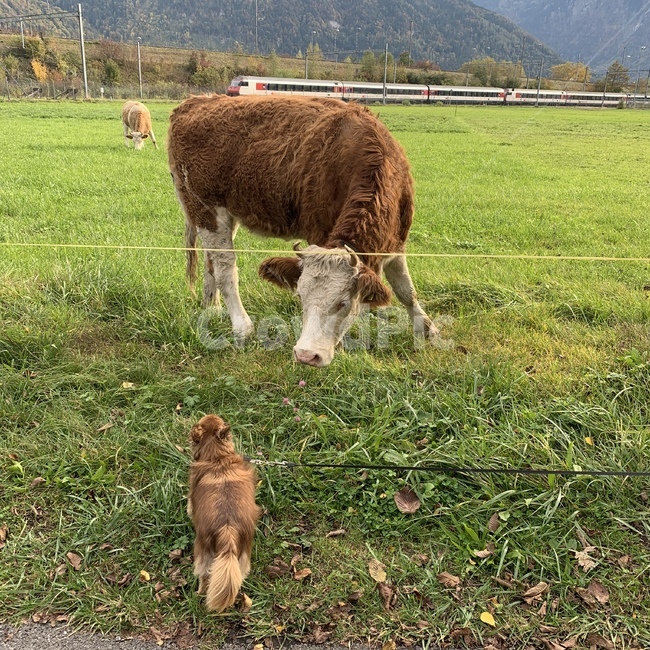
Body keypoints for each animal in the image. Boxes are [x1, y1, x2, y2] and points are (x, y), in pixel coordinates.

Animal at [168, 94, 437, 367]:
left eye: (342, 303)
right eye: (300, 297)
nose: (307, 355)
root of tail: (196, 101)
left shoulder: (395, 243)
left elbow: (405, 290)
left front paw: (426, 329)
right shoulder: (319, 234)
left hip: (222, 217)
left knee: (211, 263)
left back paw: (211, 309)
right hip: (206, 210)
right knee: (225, 270)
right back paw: (242, 327)